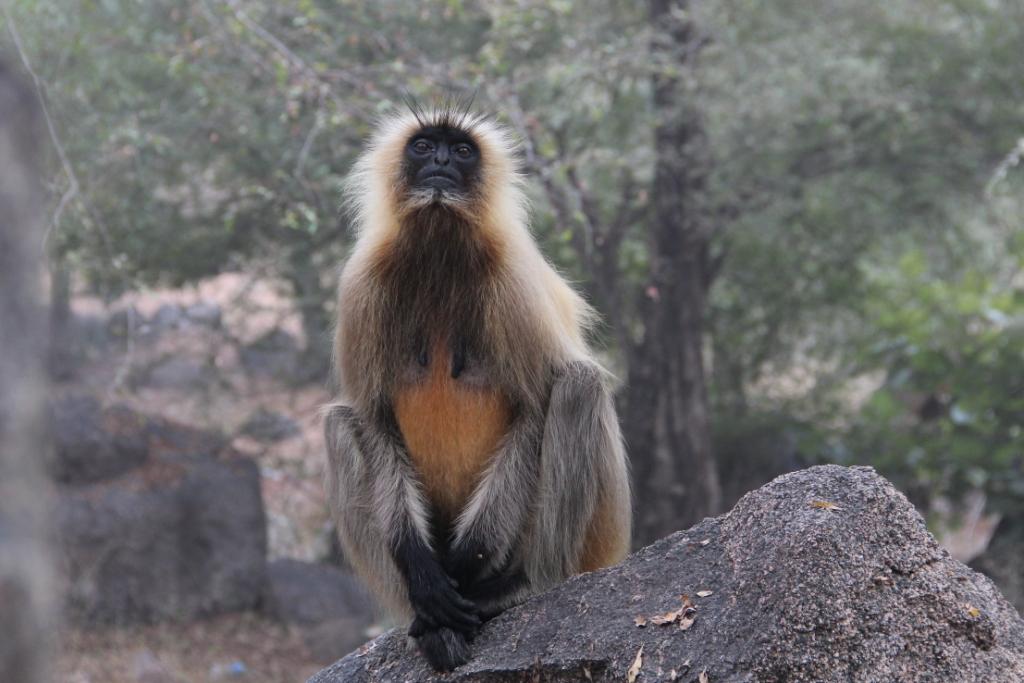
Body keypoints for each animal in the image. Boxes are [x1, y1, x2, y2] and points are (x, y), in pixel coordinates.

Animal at [323, 102, 631, 671]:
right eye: (425, 146)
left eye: (462, 150)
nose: (442, 161)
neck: (440, 247)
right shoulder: (362, 283)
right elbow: (373, 415)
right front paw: (429, 580)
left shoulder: (512, 278)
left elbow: (536, 406)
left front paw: (465, 569)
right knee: (338, 422)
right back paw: (429, 623)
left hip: (596, 543)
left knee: (578, 385)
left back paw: (520, 586)